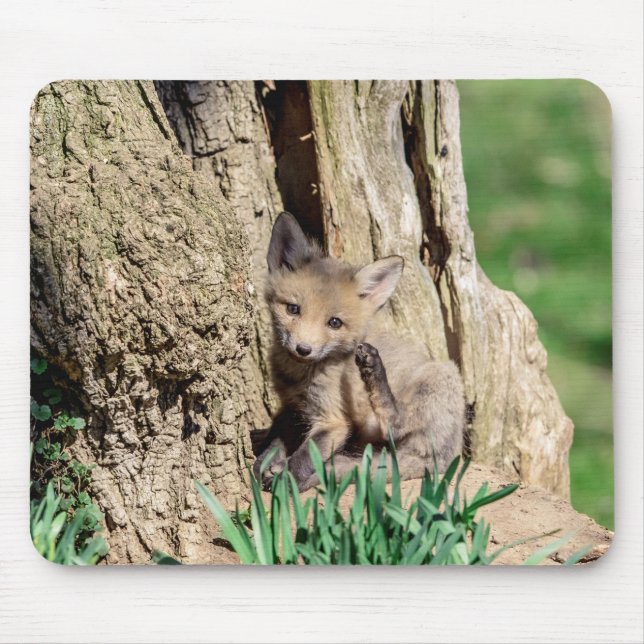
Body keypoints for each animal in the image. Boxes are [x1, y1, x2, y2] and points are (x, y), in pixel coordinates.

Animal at [253, 212, 465, 491]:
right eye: (293, 309)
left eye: (334, 323)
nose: (303, 349)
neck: (300, 376)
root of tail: (448, 456)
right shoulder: (293, 406)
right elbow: (276, 437)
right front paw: (265, 462)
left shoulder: (333, 420)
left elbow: (305, 456)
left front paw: (286, 479)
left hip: (442, 376)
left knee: (396, 424)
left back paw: (374, 369)